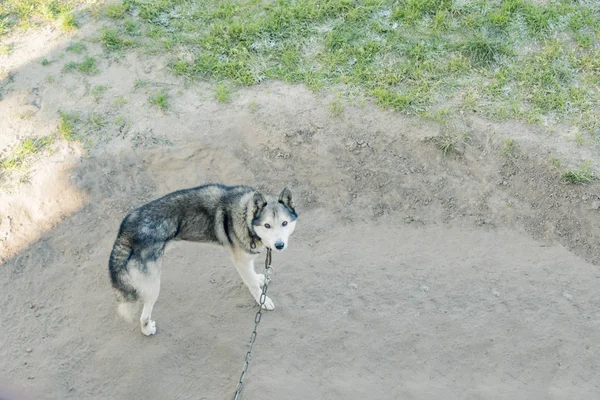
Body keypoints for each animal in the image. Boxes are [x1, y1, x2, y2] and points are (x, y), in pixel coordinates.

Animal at [108, 184, 298, 334]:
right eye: (267, 225)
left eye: (284, 223)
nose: (279, 245)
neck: (246, 215)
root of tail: (126, 230)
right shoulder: (241, 261)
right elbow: (251, 284)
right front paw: (262, 300)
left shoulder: (247, 260)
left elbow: (253, 276)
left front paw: (259, 278)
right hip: (153, 285)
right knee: (144, 316)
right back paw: (147, 330)